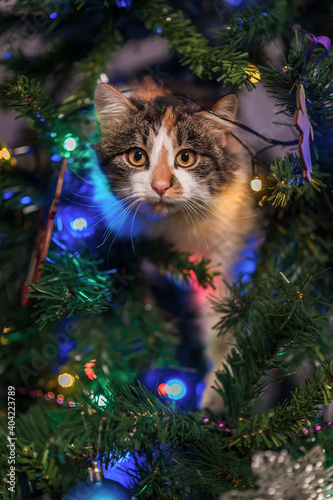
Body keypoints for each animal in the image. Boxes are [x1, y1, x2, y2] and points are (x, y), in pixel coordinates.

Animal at [92, 78, 255, 412]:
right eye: (137, 157)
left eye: (186, 158)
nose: (160, 186)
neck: (170, 226)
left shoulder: (225, 244)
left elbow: (222, 321)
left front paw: (217, 392)